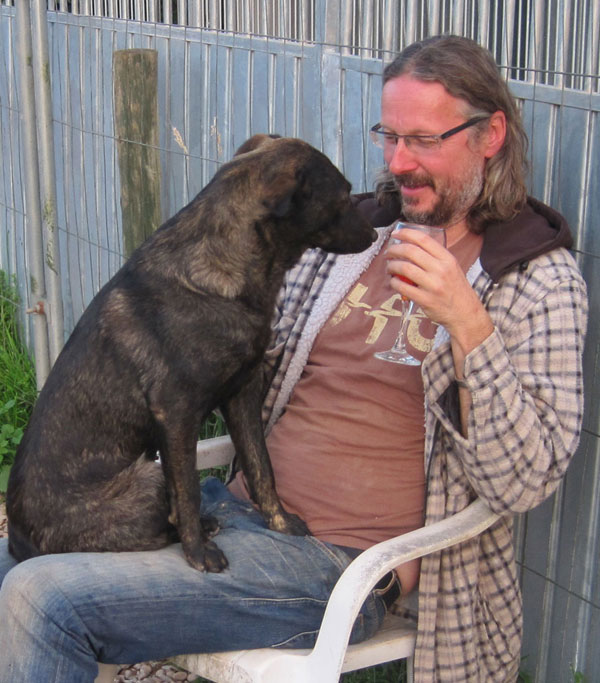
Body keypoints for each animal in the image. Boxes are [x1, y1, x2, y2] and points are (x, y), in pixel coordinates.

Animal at [5, 134, 376, 572]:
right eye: (345, 195)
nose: (375, 234)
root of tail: (19, 545)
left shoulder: (243, 394)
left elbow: (261, 466)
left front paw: (281, 522)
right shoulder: (177, 412)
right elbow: (187, 491)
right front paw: (198, 552)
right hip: (148, 475)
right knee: (157, 517)